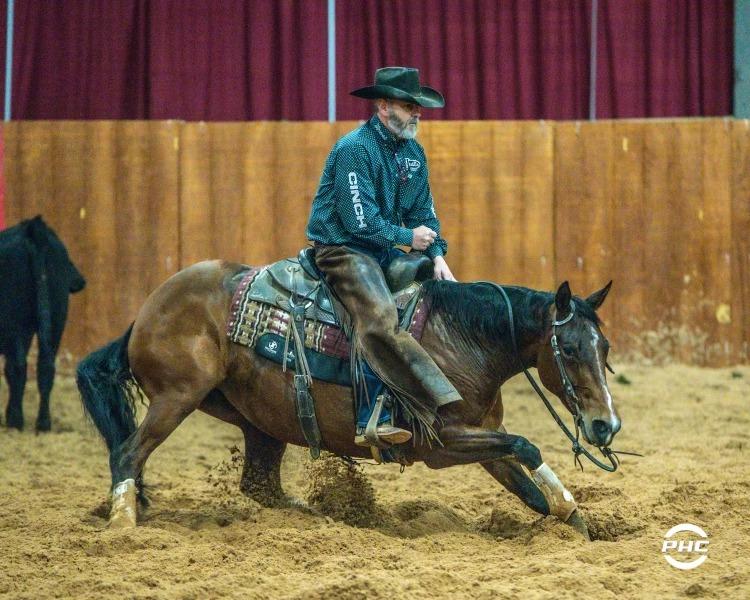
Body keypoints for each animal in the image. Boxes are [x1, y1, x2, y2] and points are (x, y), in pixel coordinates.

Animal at [77, 258, 619, 537]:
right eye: (570, 348)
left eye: (605, 347)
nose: (605, 426)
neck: (463, 340)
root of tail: (147, 310)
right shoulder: (442, 443)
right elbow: (528, 445)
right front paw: (572, 512)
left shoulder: (484, 437)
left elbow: (526, 485)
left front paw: (575, 519)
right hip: (175, 398)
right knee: (127, 453)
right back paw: (123, 524)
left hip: (259, 422)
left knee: (259, 485)